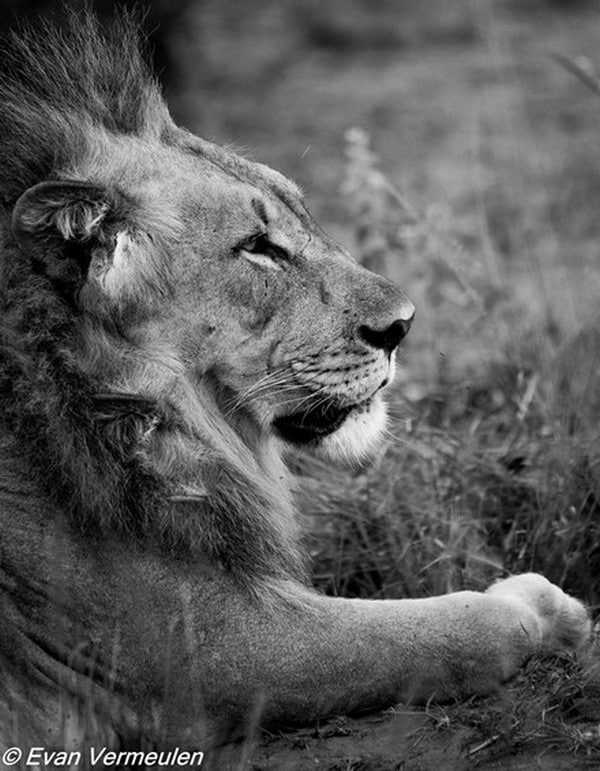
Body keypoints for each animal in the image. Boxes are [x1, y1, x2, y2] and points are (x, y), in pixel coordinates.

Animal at [0, 6, 592, 760]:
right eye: (258, 248)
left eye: (302, 214)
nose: (403, 325)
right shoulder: (213, 648)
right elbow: (449, 629)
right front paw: (544, 606)